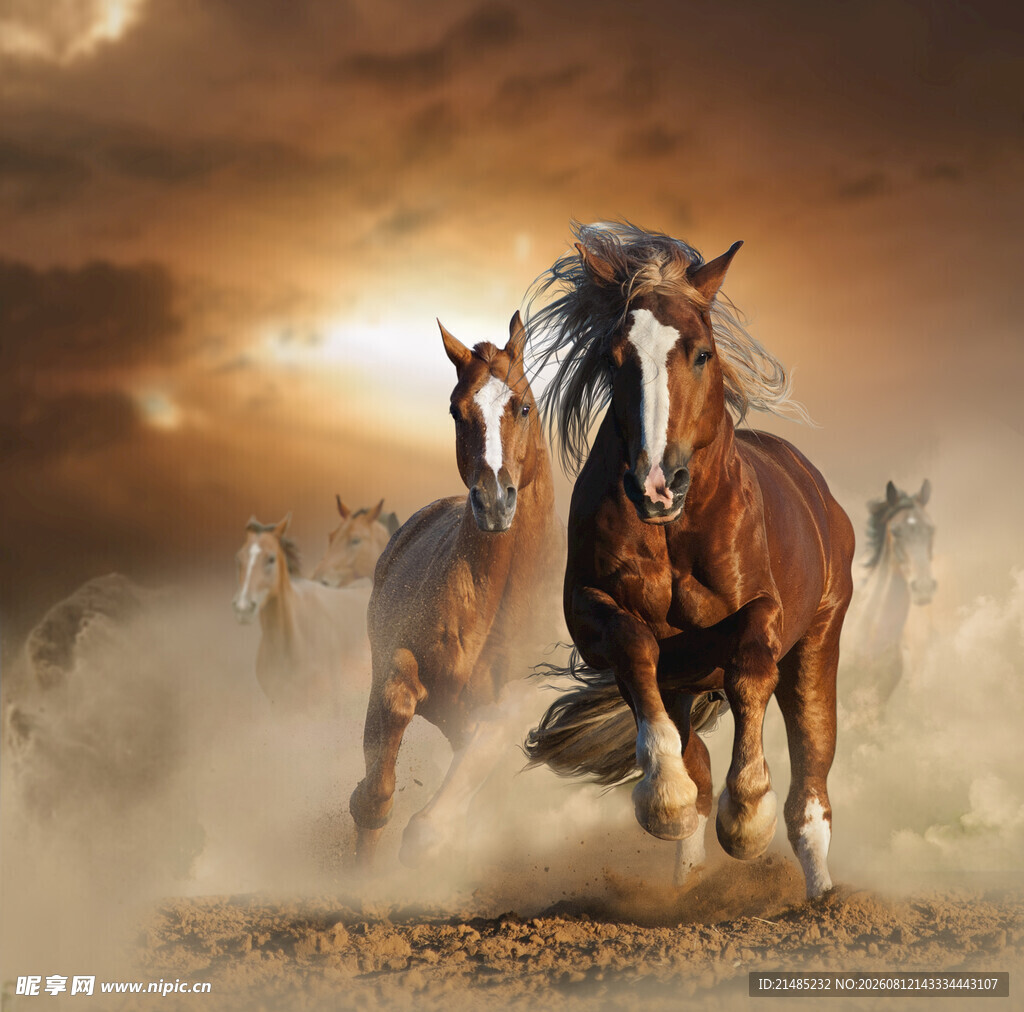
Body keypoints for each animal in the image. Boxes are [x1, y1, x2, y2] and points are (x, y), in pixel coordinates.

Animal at [349, 312, 563, 866]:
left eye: (523, 406)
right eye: (455, 410)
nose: (493, 501)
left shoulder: (509, 712)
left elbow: (432, 827)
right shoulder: (399, 664)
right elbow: (394, 712)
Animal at [523, 222, 855, 900]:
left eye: (701, 353)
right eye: (613, 358)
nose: (656, 484)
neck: (675, 533)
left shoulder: (764, 613)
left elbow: (751, 668)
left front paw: (747, 817)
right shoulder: (593, 615)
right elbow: (635, 650)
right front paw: (665, 800)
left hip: (819, 640)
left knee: (812, 778)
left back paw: (820, 897)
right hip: (684, 682)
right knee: (695, 754)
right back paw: (690, 878)